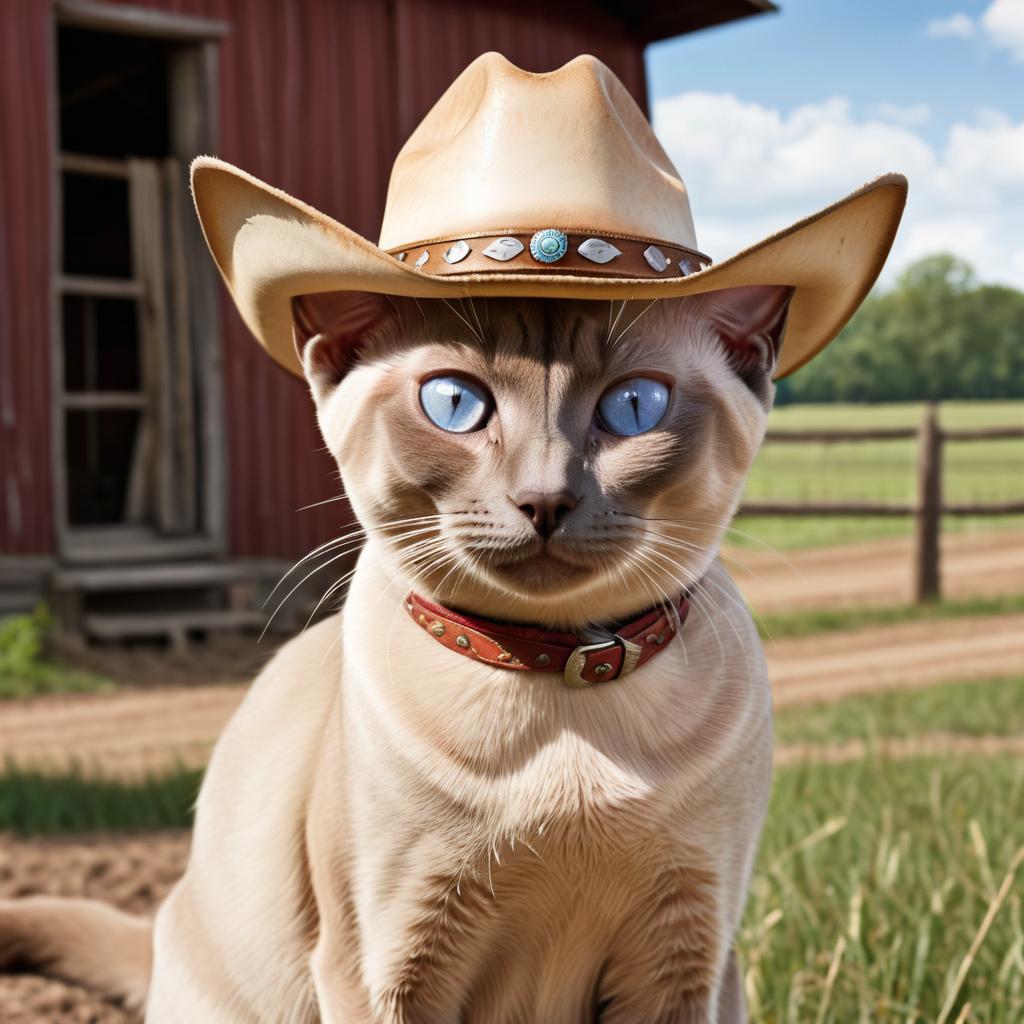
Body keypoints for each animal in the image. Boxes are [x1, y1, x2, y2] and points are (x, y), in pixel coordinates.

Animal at [0, 284, 790, 1019]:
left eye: (633, 406)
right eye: (454, 403)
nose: (545, 500)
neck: (556, 660)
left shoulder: (684, 961)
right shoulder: (386, 959)